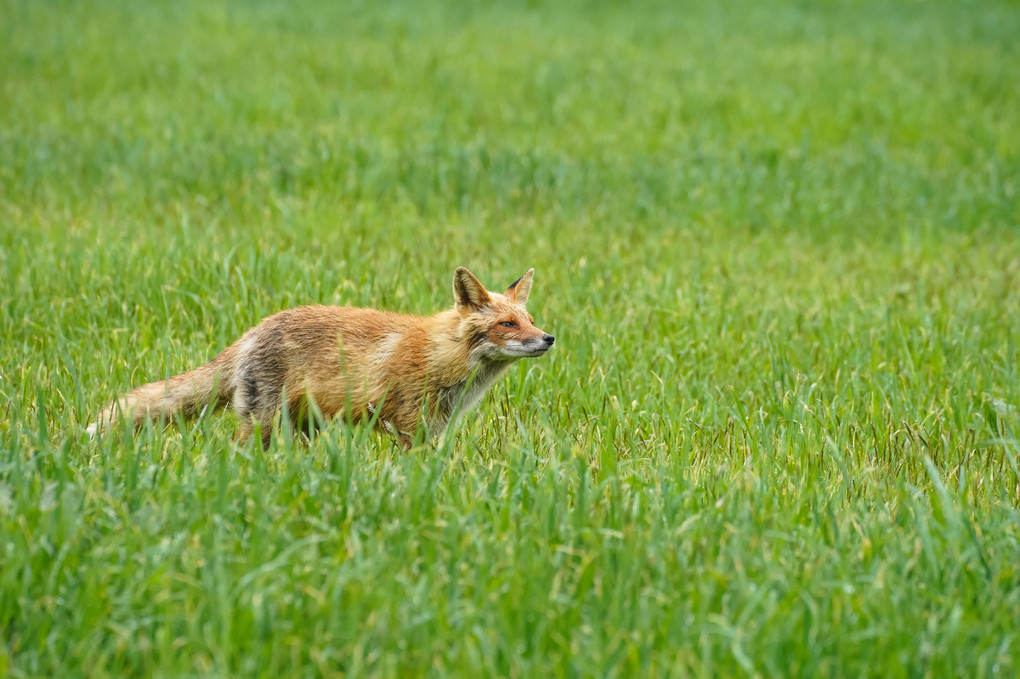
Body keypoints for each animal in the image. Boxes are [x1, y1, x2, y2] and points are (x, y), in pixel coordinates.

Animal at [85, 265, 558, 448]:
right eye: (507, 325)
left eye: (530, 320)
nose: (549, 338)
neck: (443, 358)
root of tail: (252, 330)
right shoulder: (408, 427)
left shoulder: (434, 431)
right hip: (263, 423)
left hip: (302, 427)